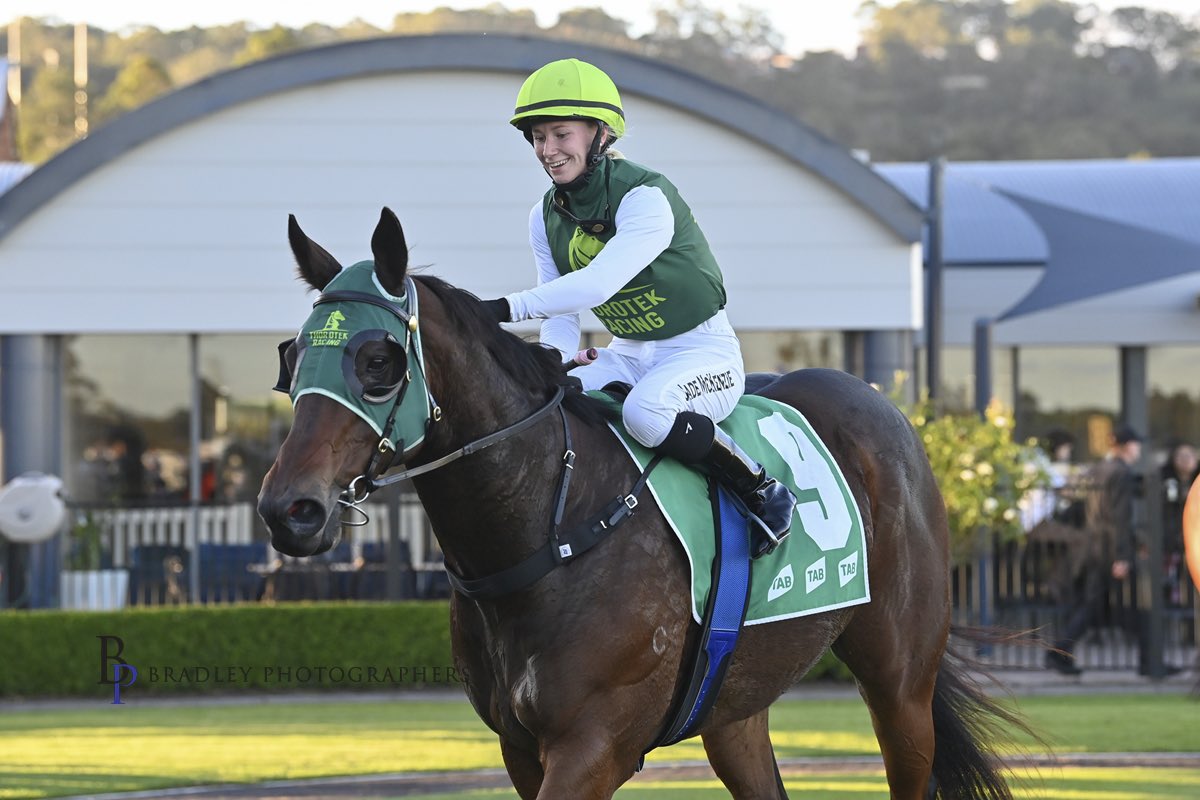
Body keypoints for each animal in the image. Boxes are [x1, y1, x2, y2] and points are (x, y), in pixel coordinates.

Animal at [260, 208, 1022, 800]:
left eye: (376, 361)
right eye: (292, 360)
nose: (289, 509)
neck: (552, 526)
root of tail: (882, 405)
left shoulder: (594, 745)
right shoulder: (521, 747)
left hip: (901, 684)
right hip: (735, 702)